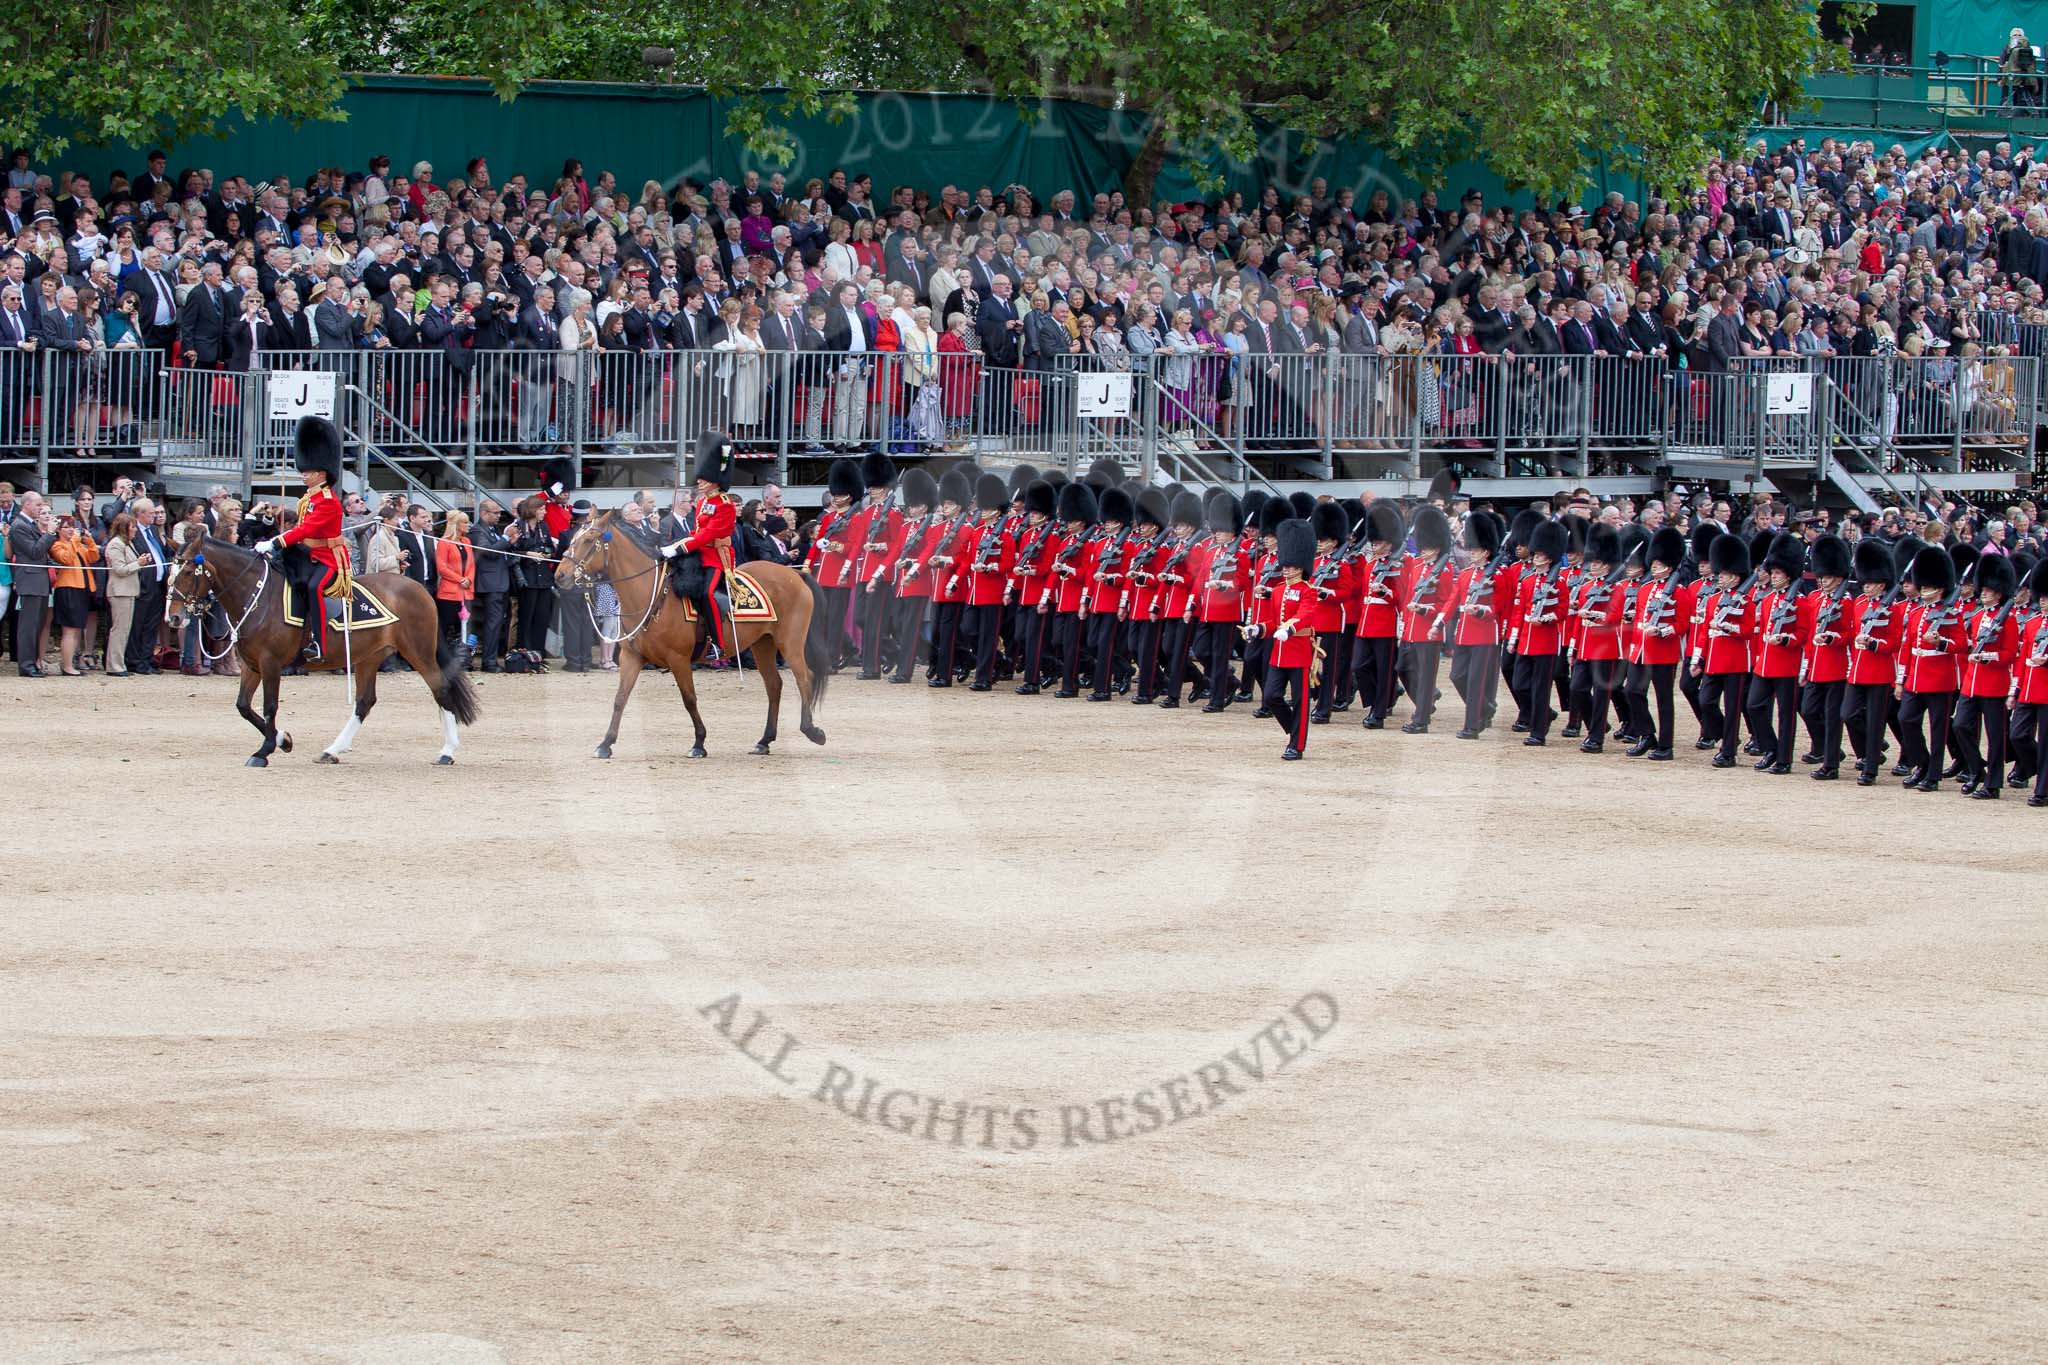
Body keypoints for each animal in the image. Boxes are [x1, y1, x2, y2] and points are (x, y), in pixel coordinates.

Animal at [167, 532, 479, 769]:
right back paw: (332, 750)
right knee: (365, 702)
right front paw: (283, 740)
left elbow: (269, 706)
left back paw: (447, 751)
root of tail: (418, 587)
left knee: (441, 689)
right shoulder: (252, 664)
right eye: (170, 572)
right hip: (369, 657)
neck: (256, 594)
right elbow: (244, 706)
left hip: (419, 653)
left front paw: (264, 750)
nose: (174, 618)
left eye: (187, 571)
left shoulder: (270, 662)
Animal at [552, 509, 831, 757]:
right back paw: (764, 741)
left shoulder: (679, 659)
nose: (560, 575)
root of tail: (794, 573)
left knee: (805, 677)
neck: (651, 595)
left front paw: (699, 743)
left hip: (790, 642)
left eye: (589, 541)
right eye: (573, 539)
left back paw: (811, 730)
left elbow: (689, 699)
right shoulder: (631, 657)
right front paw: (606, 743)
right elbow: (620, 698)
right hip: (763, 644)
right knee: (774, 685)